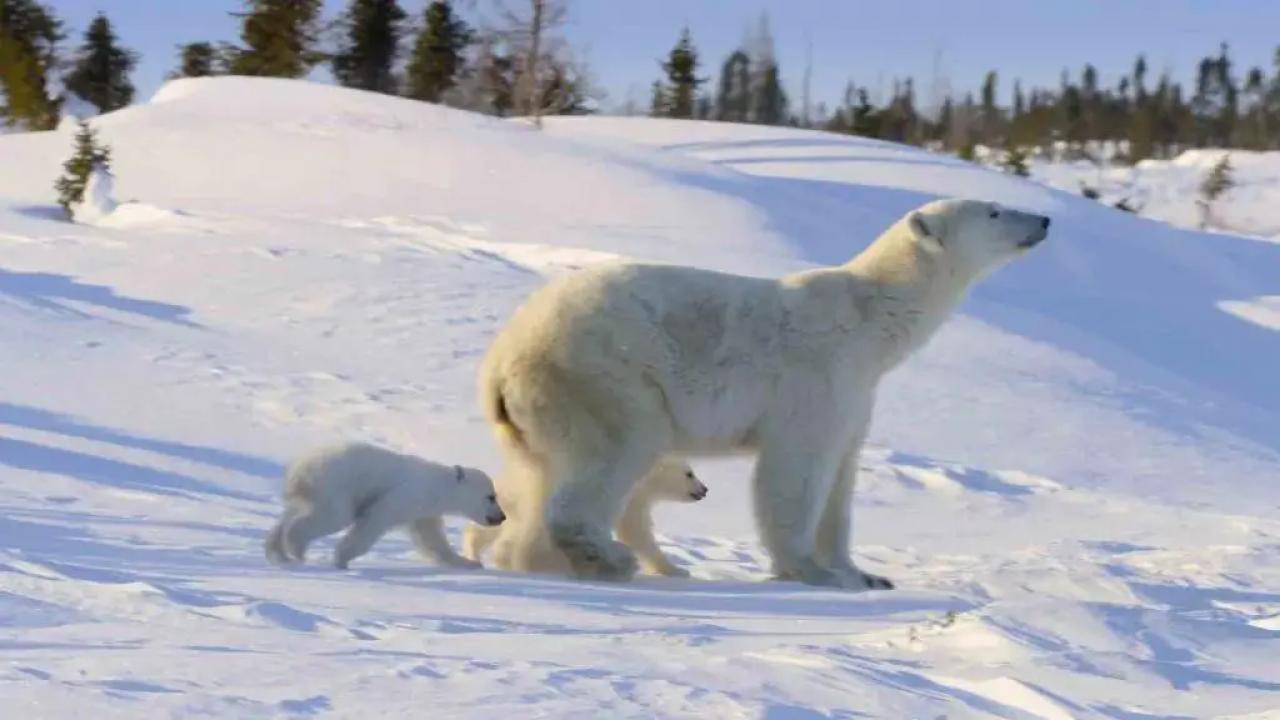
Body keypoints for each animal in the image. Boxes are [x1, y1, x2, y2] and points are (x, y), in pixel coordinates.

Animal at [264, 440, 504, 568]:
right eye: (491, 496)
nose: (502, 517)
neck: (437, 485)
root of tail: (299, 470)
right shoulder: (406, 495)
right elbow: (374, 521)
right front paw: (342, 558)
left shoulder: (423, 511)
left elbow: (432, 540)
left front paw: (470, 563)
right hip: (335, 485)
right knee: (333, 516)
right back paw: (296, 548)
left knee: (290, 514)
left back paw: (277, 552)